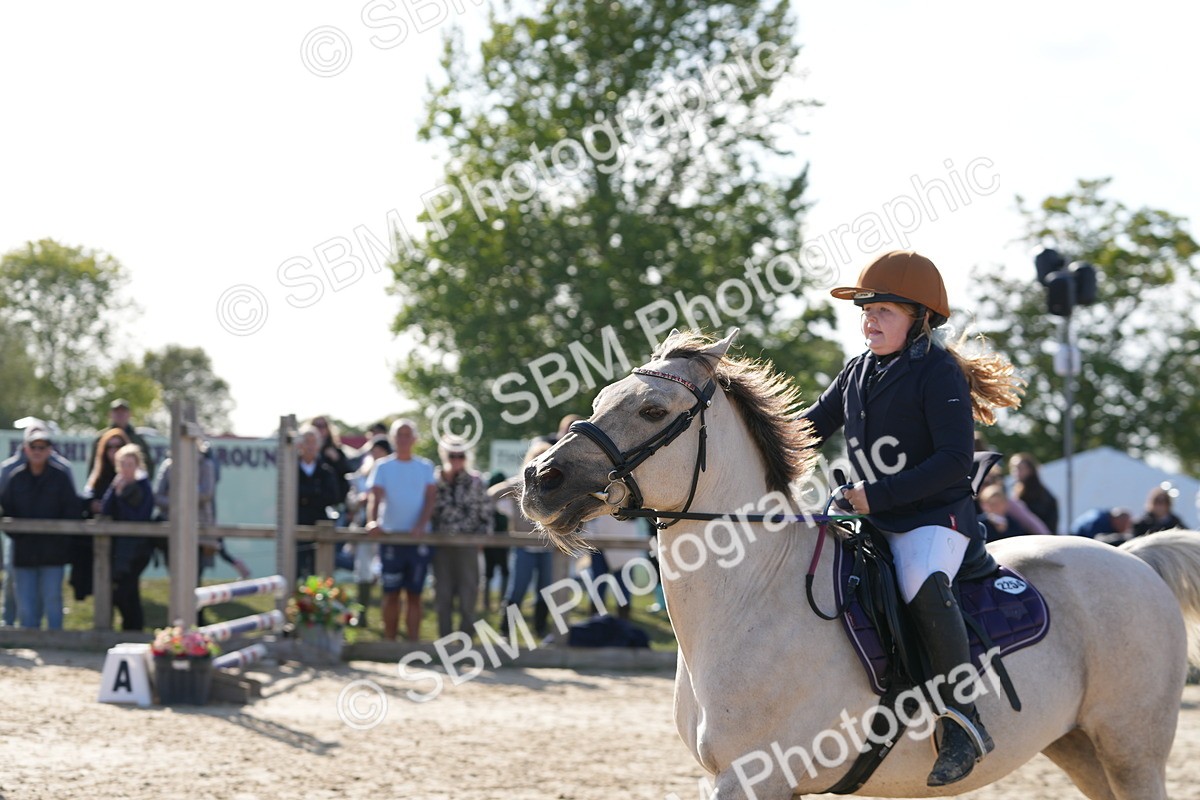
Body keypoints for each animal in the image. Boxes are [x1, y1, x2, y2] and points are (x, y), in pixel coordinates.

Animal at [520, 329, 1200, 799]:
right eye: (602, 399)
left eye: (653, 411)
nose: (539, 480)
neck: (752, 596)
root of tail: (1133, 559)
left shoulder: (754, 778)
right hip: (1080, 747)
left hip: (1131, 752)